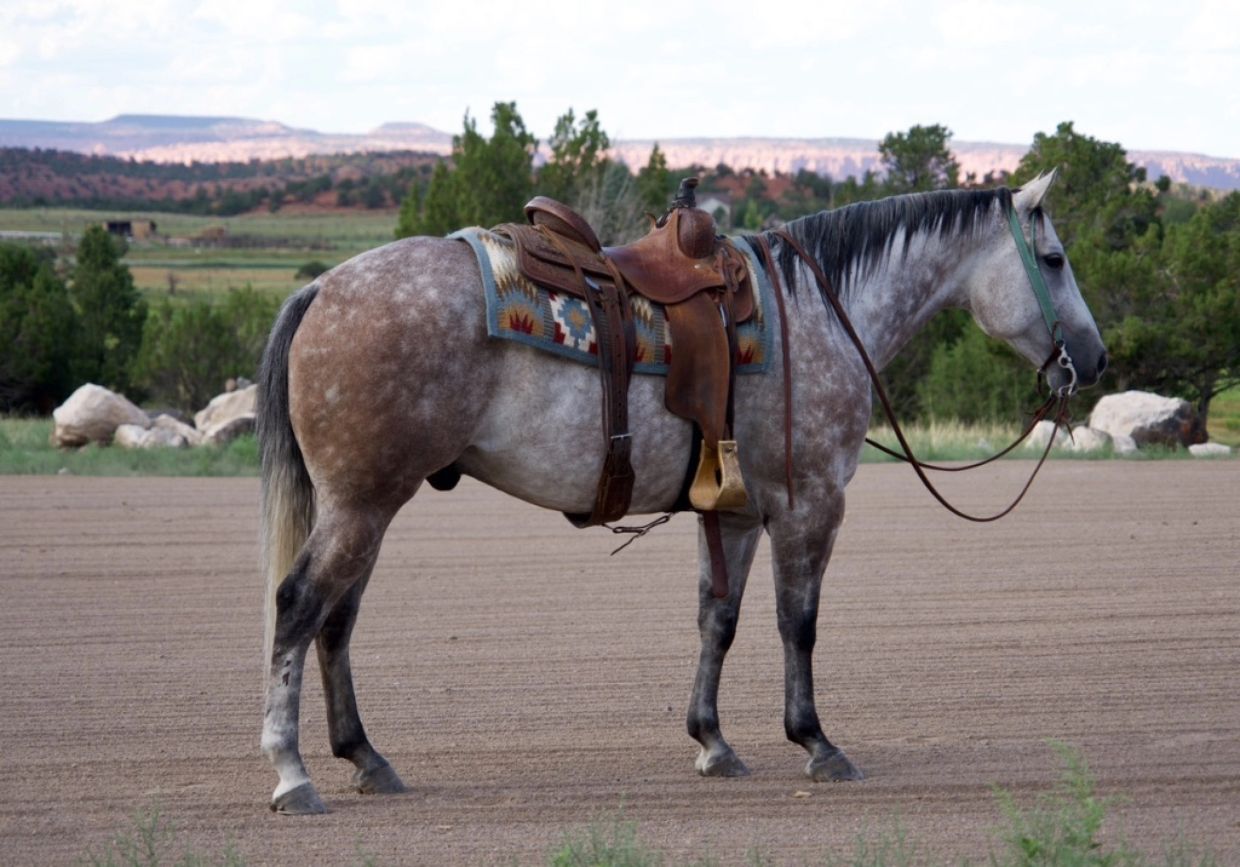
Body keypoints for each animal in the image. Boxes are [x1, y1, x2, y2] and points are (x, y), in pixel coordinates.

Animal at [257, 171, 1107, 813]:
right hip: (362, 503)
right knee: (299, 606)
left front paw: (713, 741)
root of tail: (321, 289)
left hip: (369, 504)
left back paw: (366, 757)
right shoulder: (810, 503)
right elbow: (798, 623)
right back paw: (292, 773)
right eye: (1054, 258)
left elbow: (717, 619)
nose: (1093, 358)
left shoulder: (737, 512)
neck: (819, 312)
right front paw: (816, 741)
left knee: (337, 621)